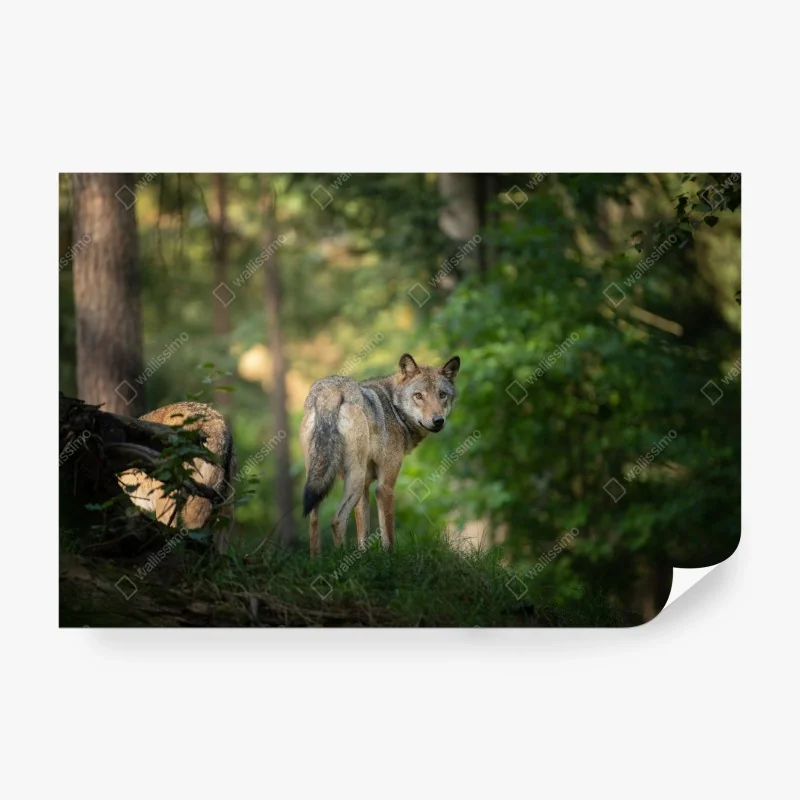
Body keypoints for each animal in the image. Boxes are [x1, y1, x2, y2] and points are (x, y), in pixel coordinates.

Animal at [300, 353, 460, 556]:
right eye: (418, 396)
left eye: (442, 395)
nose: (438, 420)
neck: (394, 408)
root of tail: (332, 391)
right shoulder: (384, 487)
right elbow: (388, 534)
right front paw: (389, 558)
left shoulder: (365, 488)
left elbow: (363, 534)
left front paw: (362, 556)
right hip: (354, 479)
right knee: (337, 520)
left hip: (318, 480)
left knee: (313, 521)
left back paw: (317, 560)